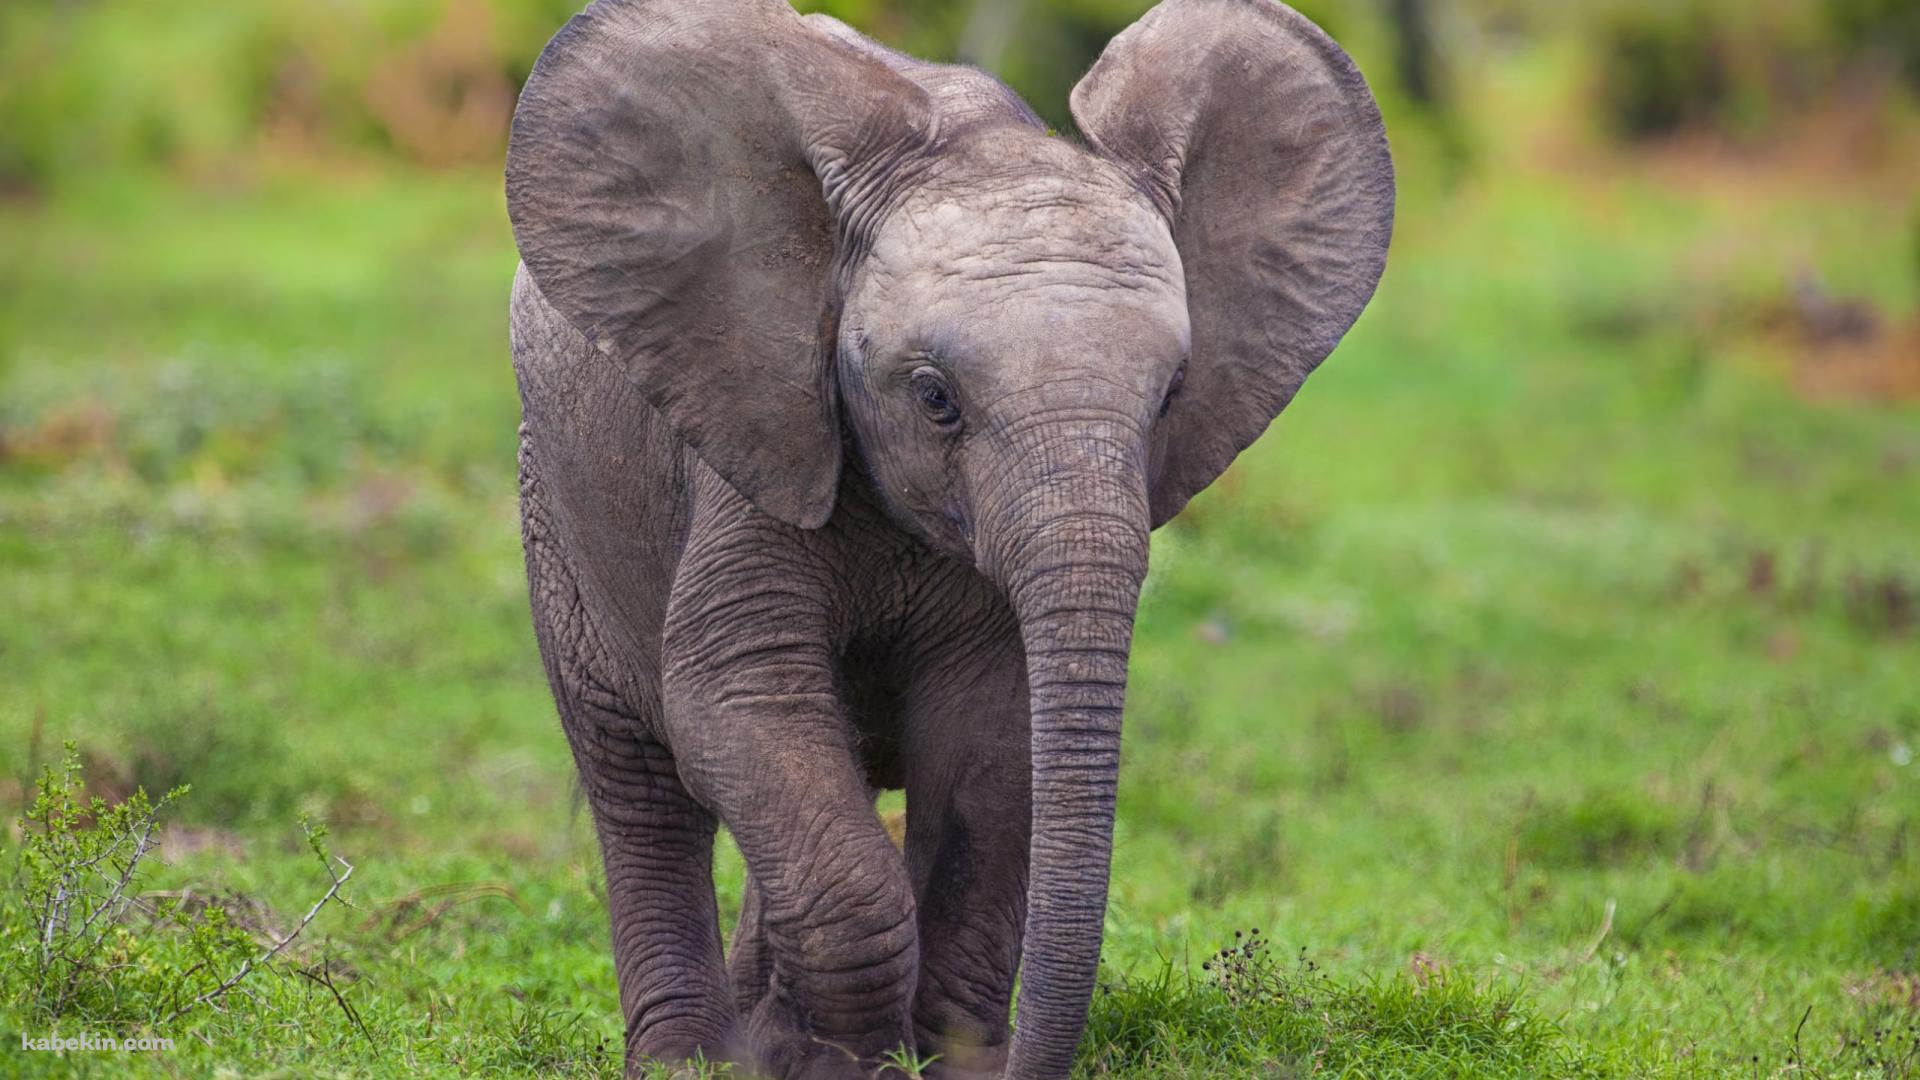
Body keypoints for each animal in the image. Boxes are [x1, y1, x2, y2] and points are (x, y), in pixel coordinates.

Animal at [503, 0, 1392, 1076]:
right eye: (935, 399)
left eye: (1171, 396)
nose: (1011, 1059)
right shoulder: (754, 447)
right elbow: (736, 701)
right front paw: (835, 1065)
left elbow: (990, 744)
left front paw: (926, 1060)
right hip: (556, 500)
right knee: (636, 780)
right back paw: (691, 1060)